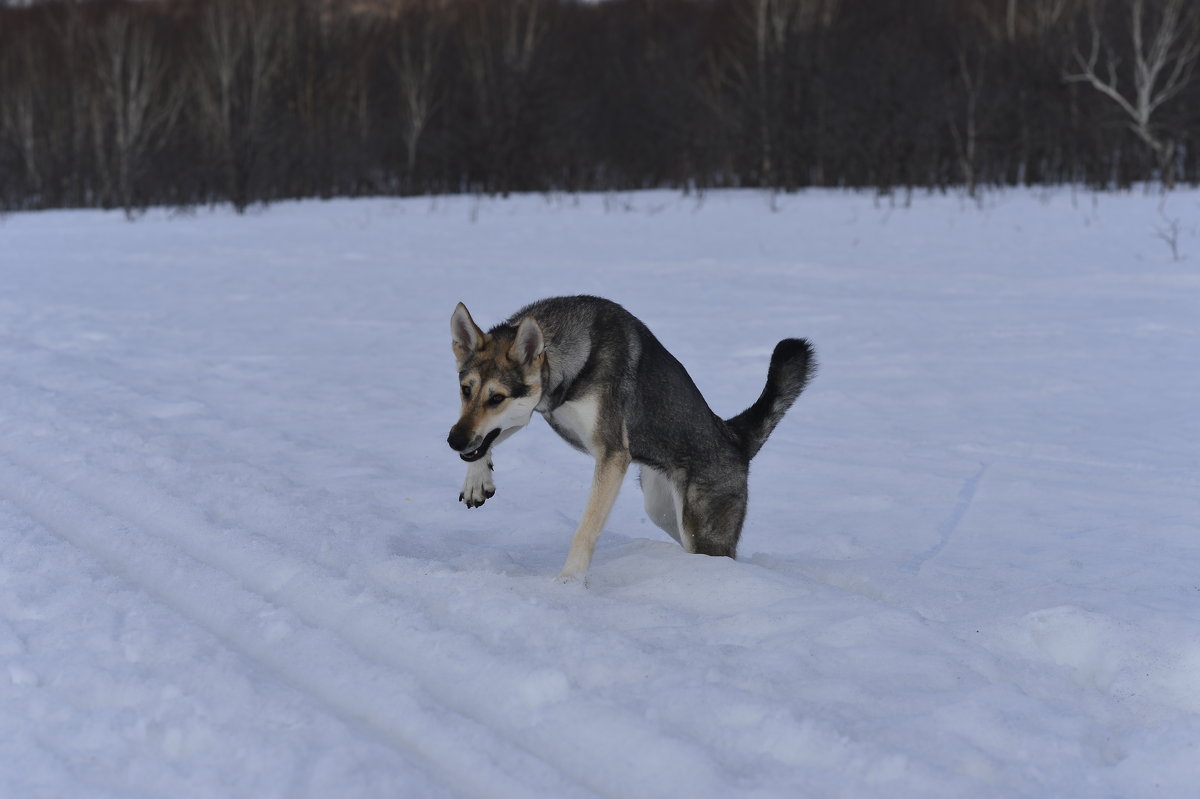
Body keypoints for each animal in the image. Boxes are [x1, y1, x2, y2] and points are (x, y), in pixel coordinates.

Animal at [451, 292, 816, 578]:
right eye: (465, 389)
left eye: (496, 397)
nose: (453, 440)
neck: (568, 365)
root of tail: (734, 437)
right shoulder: (527, 413)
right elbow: (488, 438)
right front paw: (476, 478)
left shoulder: (611, 454)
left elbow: (586, 529)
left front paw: (568, 584)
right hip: (662, 509)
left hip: (701, 527)